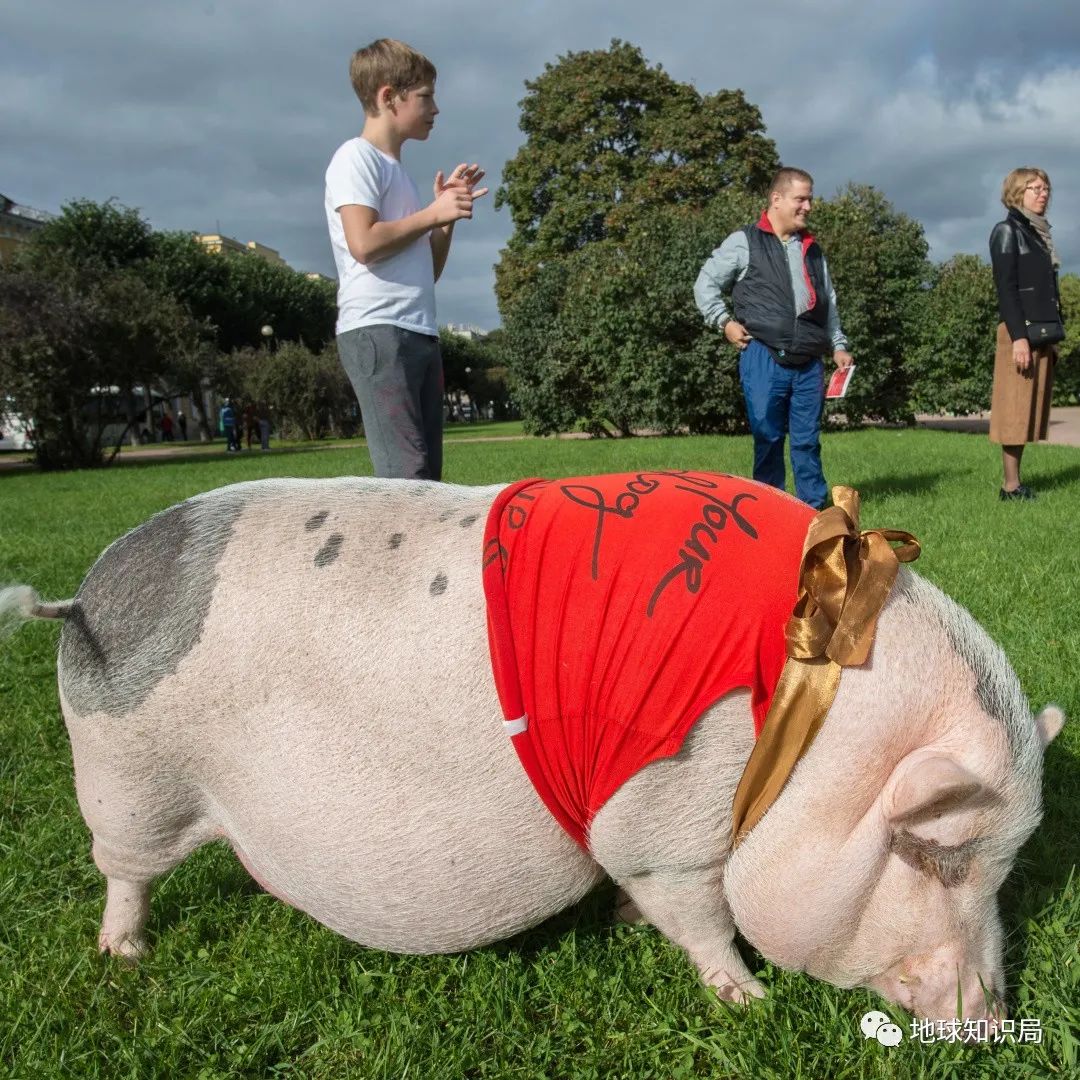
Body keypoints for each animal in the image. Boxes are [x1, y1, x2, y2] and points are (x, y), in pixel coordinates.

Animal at [0, 473, 1062, 1019]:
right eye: (931, 853)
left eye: (1008, 865)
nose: (990, 1020)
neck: (807, 715)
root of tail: (85, 596)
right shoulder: (665, 816)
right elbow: (698, 913)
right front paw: (748, 1004)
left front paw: (631, 927)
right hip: (127, 777)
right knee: (124, 873)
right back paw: (125, 957)